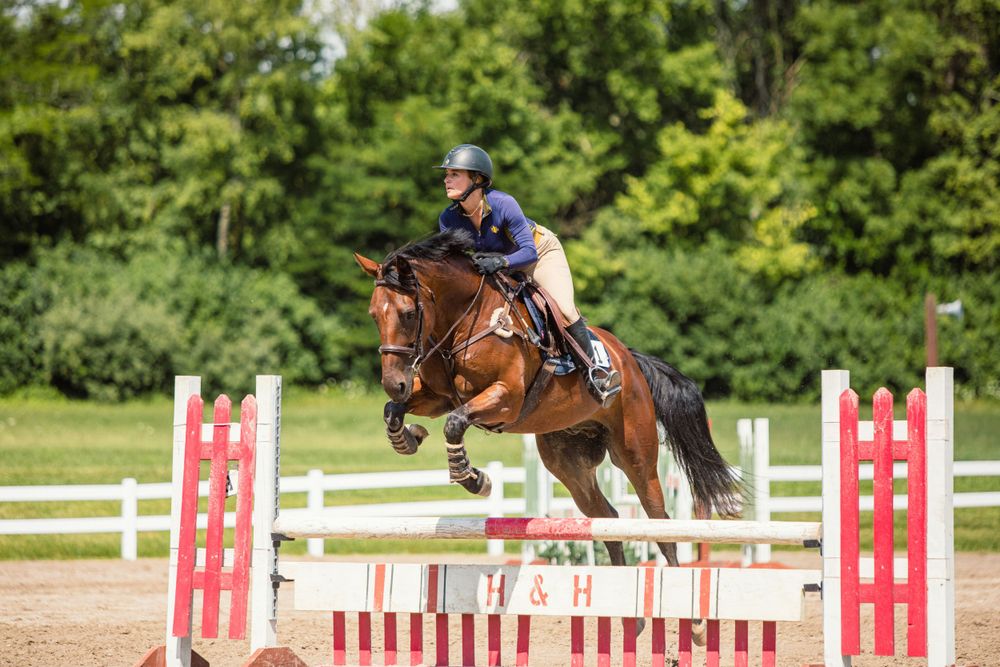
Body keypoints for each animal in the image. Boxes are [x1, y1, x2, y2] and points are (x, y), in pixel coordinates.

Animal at [354, 229, 741, 640]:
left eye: (408, 314)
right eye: (374, 315)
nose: (393, 382)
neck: (463, 320)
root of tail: (630, 361)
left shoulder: (505, 398)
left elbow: (455, 423)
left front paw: (473, 478)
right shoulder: (438, 396)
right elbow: (396, 412)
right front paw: (408, 437)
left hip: (636, 454)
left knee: (659, 521)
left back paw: (692, 622)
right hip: (569, 463)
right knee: (608, 519)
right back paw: (629, 613)